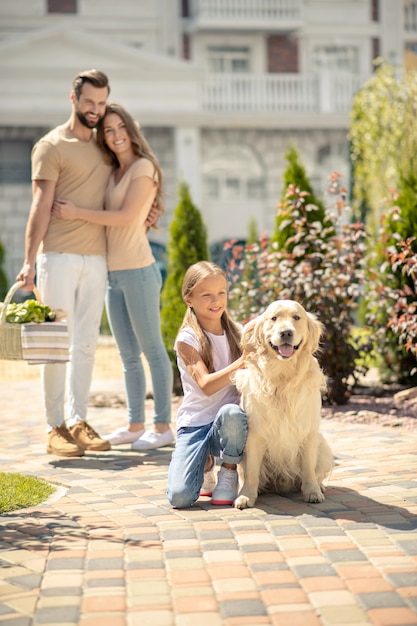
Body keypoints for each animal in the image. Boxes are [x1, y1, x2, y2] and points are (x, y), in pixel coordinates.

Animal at [232, 300, 334, 510]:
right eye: (273, 318)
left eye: (297, 317)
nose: (286, 332)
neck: (283, 377)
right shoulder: (255, 434)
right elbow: (251, 472)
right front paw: (246, 495)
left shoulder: (308, 431)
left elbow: (308, 468)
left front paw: (312, 491)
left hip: (323, 446)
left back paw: (320, 486)